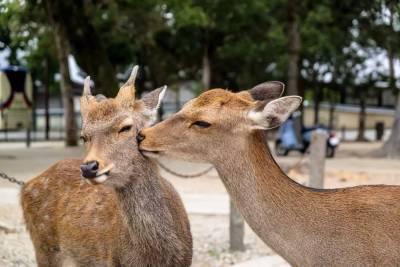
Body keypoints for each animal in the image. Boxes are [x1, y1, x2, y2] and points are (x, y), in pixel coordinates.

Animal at [21, 67, 193, 267]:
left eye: (126, 127)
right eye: (84, 136)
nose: (89, 167)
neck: (154, 258)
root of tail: (25, 186)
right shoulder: (113, 261)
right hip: (43, 247)